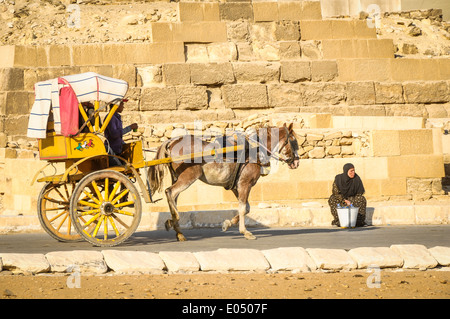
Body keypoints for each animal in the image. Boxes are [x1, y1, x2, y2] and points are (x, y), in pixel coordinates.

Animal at [148, 124, 300, 241]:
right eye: (293, 141)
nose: (296, 162)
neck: (254, 150)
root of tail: (172, 141)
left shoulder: (236, 186)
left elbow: (246, 208)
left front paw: (227, 224)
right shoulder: (245, 184)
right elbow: (243, 208)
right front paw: (245, 232)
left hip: (177, 177)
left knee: (173, 197)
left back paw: (178, 230)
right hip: (189, 176)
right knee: (170, 192)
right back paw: (175, 219)